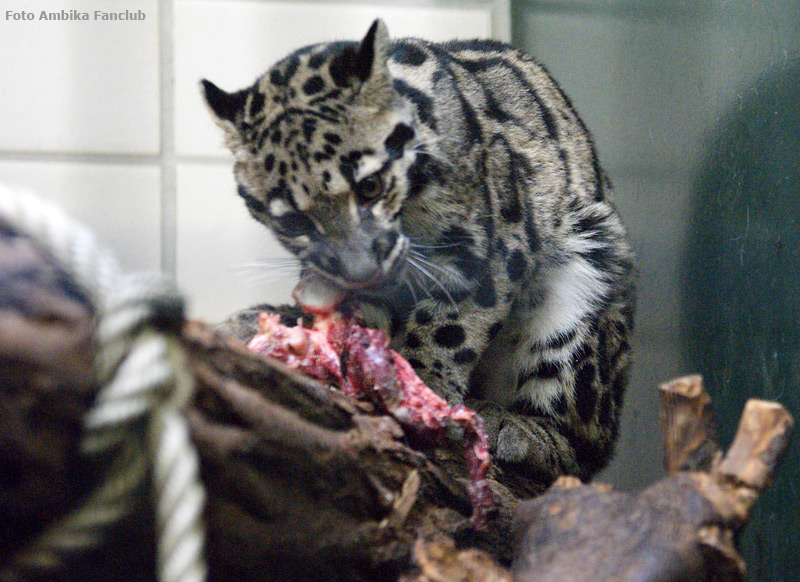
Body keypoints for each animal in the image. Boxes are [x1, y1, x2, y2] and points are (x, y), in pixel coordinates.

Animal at [205, 19, 636, 492]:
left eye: (369, 186)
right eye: (294, 221)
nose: (360, 269)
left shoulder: (487, 251)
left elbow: (448, 325)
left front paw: (419, 383)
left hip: (587, 281)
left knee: (584, 445)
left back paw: (520, 427)